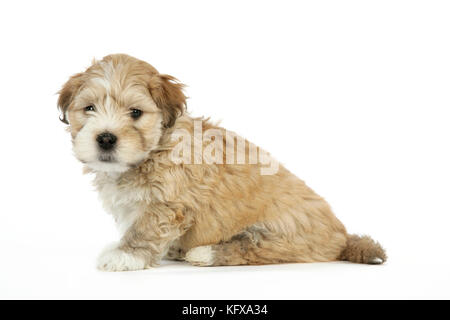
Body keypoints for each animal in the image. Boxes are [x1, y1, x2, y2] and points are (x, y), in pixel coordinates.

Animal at [58, 53, 384, 272]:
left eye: (135, 113)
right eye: (89, 108)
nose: (106, 138)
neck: (154, 150)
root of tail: (341, 238)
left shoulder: (168, 204)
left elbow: (145, 229)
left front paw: (126, 255)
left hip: (284, 232)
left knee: (255, 247)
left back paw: (204, 254)